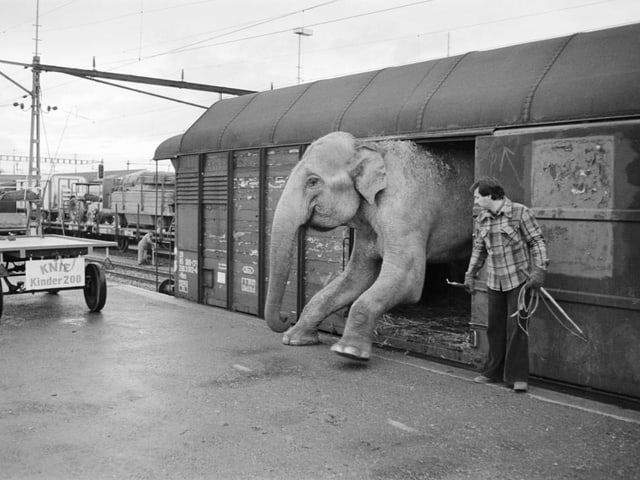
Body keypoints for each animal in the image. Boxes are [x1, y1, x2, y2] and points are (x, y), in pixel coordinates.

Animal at [262, 131, 472, 360]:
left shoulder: (405, 211)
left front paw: (348, 351)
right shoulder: (368, 227)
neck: (370, 147)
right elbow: (356, 277)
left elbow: (408, 279)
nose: (284, 318)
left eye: (313, 181)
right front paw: (294, 340)